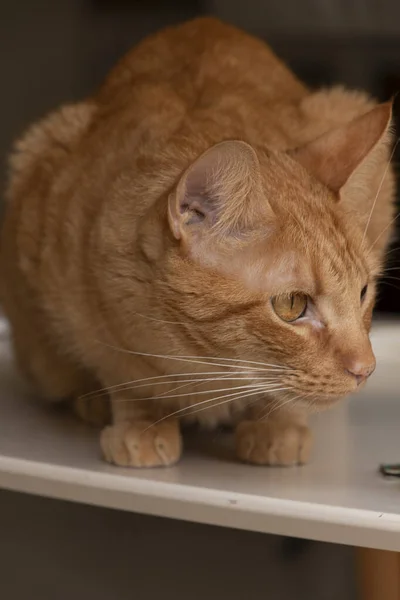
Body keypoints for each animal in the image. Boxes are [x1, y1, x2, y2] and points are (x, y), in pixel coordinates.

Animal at [0, 17, 396, 468]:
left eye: (363, 292)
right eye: (292, 306)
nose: (365, 369)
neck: (209, 365)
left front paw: (279, 426)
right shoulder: (86, 293)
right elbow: (124, 373)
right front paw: (141, 423)